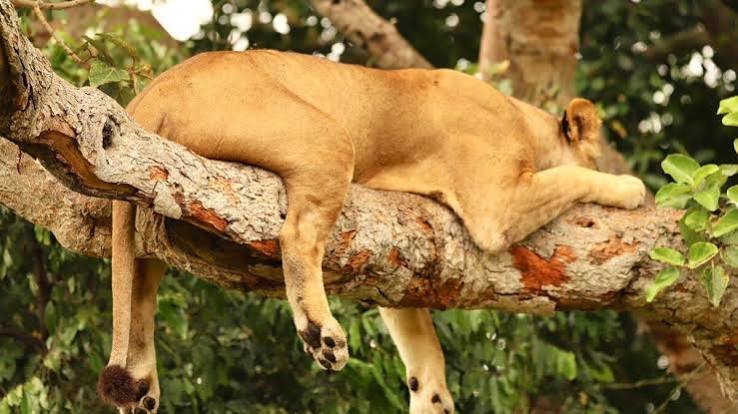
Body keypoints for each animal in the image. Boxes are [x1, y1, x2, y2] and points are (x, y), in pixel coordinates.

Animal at [96, 49, 645, 413]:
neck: (526, 121)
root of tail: (148, 95)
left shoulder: (407, 259)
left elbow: (422, 340)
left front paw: (433, 399)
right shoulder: (497, 207)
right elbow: (573, 176)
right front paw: (630, 187)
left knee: (138, 291)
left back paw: (143, 388)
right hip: (329, 136)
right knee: (297, 237)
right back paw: (321, 335)